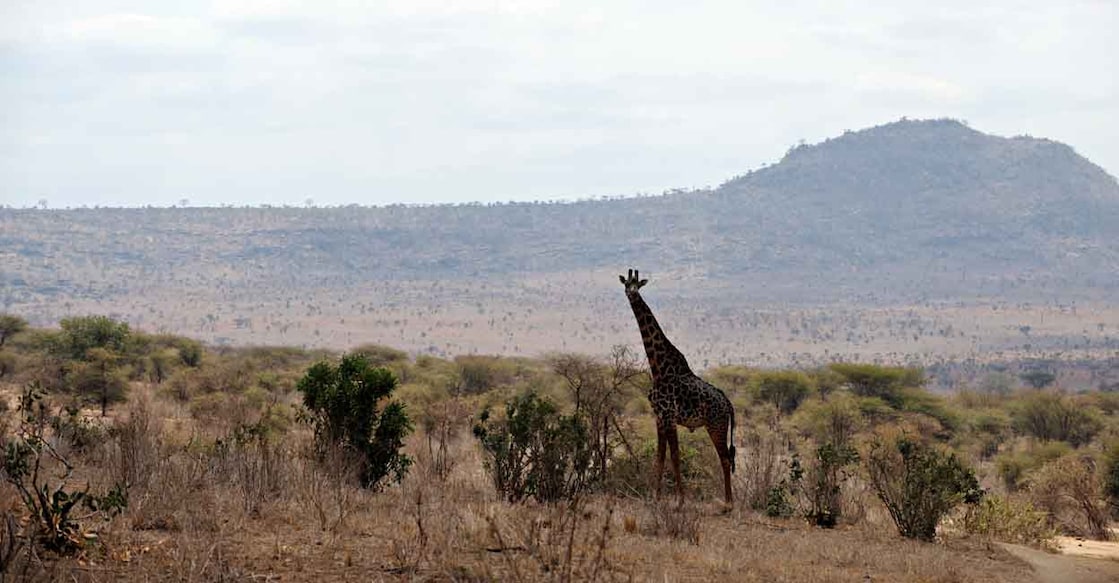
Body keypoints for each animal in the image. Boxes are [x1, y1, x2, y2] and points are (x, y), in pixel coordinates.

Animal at [617, 269, 738, 503]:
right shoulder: (659, 416)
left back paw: (729, 503)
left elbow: (675, 456)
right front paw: (655, 498)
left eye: (638, 285)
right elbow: (660, 456)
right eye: (627, 284)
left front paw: (680, 500)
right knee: (726, 458)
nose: (632, 294)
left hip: (716, 425)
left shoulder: (669, 416)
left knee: (726, 458)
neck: (658, 367)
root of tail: (728, 404)